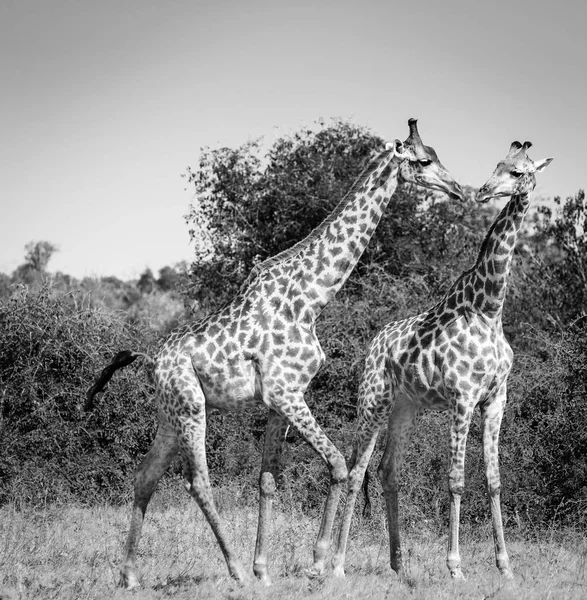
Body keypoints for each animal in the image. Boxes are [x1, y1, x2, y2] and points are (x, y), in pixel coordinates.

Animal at [85, 119, 466, 588]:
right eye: (425, 160)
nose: (459, 190)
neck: (312, 298)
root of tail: (152, 359)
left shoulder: (275, 402)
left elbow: (267, 479)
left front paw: (264, 569)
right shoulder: (286, 393)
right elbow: (337, 465)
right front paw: (317, 563)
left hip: (169, 414)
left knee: (144, 476)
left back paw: (130, 576)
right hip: (192, 407)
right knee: (197, 481)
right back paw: (232, 570)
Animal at [334, 139, 552, 580]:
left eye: (517, 171)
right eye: (497, 165)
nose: (483, 192)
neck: (489, 309)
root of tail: (372, 344)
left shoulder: (496, 399)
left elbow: (494, 480)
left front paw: (505, 566)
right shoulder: (463, 398)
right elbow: (455, 480)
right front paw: (455, 567)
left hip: (406, 407)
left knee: (387, 470)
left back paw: (398, 565)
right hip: (373, 400)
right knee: (355, 467)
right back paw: (332, 563)